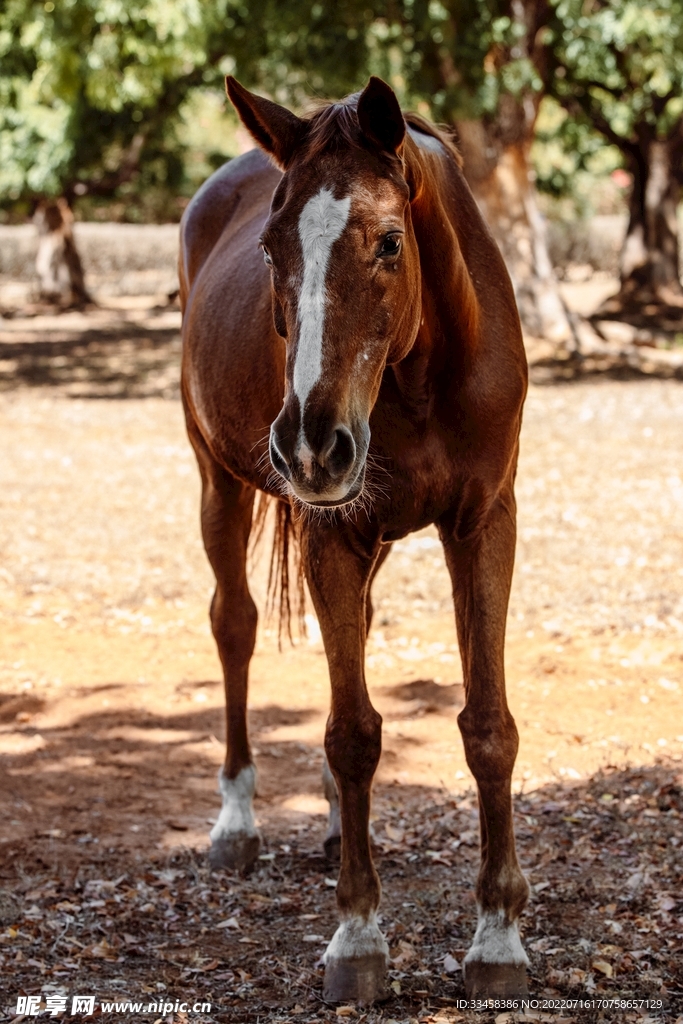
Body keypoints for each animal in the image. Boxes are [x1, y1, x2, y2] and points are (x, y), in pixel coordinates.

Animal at [179, 75, 532, 1003]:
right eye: (270, 252)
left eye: (387, 242)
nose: (310, 443)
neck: (421, 374)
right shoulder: (329, 532)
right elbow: (351, 732)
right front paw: (358, 936)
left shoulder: (485, 524)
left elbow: (486, 724)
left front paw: (497, 936)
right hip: (219, 482)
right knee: (233, 626)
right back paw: (237, 822)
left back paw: (340, 822)